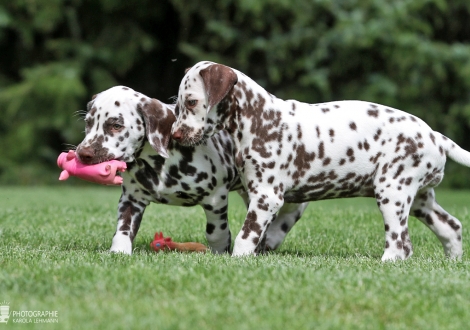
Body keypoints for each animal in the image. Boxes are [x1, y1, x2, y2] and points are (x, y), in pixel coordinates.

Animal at [75, 85, 306, 255]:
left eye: (116, 125)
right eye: (88, 123)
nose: (83, 153)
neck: (159, 165)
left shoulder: (216, 198)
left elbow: (217, 233)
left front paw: (221, 252)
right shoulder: (131, 198)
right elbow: (123, 230)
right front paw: (118, 252)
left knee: (292, 209)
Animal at [172, 60, 470, 260]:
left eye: (191, 102)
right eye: (177, 104)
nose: (174, 134)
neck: (259, 119)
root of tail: (435, 135)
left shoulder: (267, 196)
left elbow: (247, 235)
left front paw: (238, 261)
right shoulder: (256, 195)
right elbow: (264, 234)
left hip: (392, 192)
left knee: (401, 245)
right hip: (419, 199)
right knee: (451, 226)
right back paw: (453, 262)